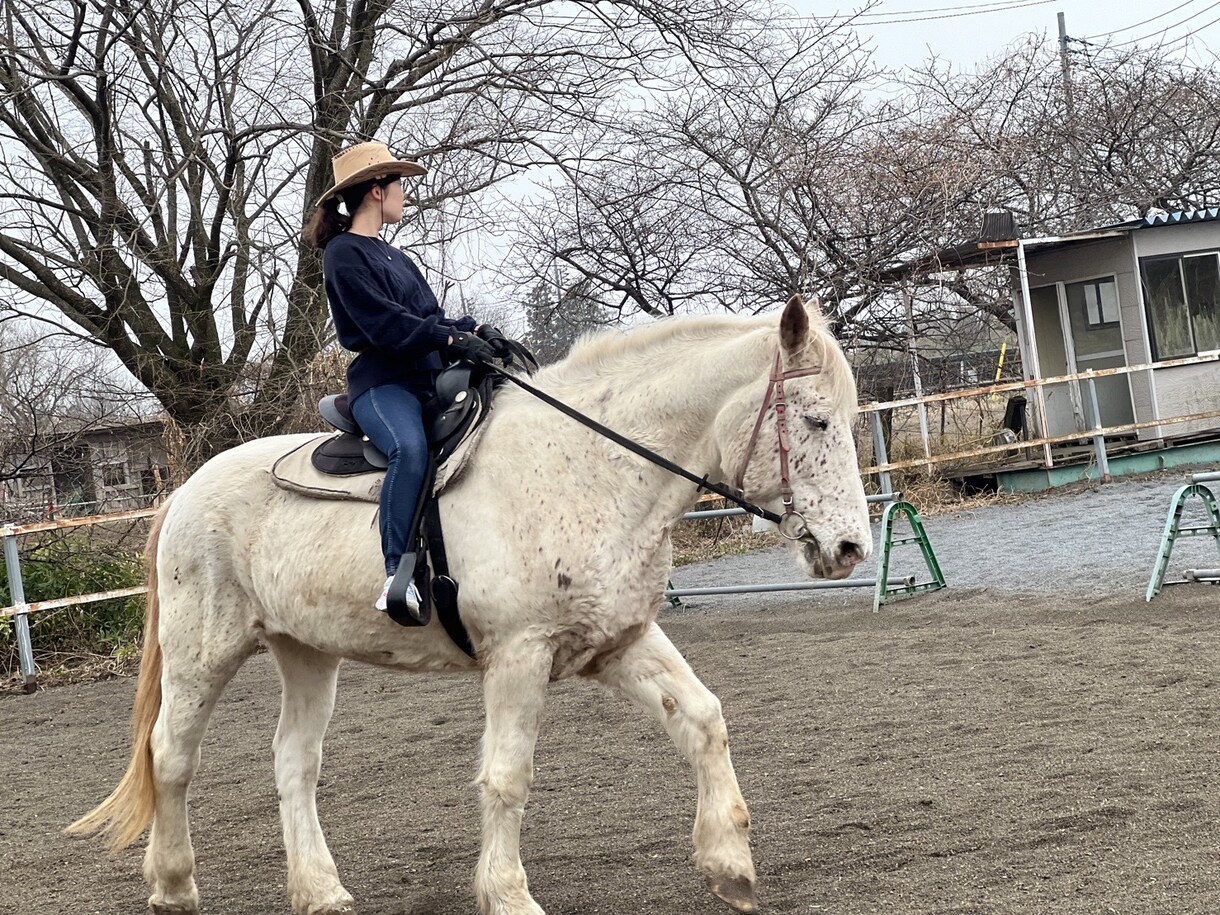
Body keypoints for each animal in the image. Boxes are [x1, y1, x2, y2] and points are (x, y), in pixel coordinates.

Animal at [68, 294, 871, 915]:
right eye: (817, 421)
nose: (851, 548)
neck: (590, 465)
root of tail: (185, 489)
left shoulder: (617, 640)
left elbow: (704, 719)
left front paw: (730, 866)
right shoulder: (519, 655)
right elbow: (508, 776)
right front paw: (508, 895)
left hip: (307, 653)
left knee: (293, 762)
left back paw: (320, 891)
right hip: (203, 653)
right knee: (170, 756)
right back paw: (174, 887)